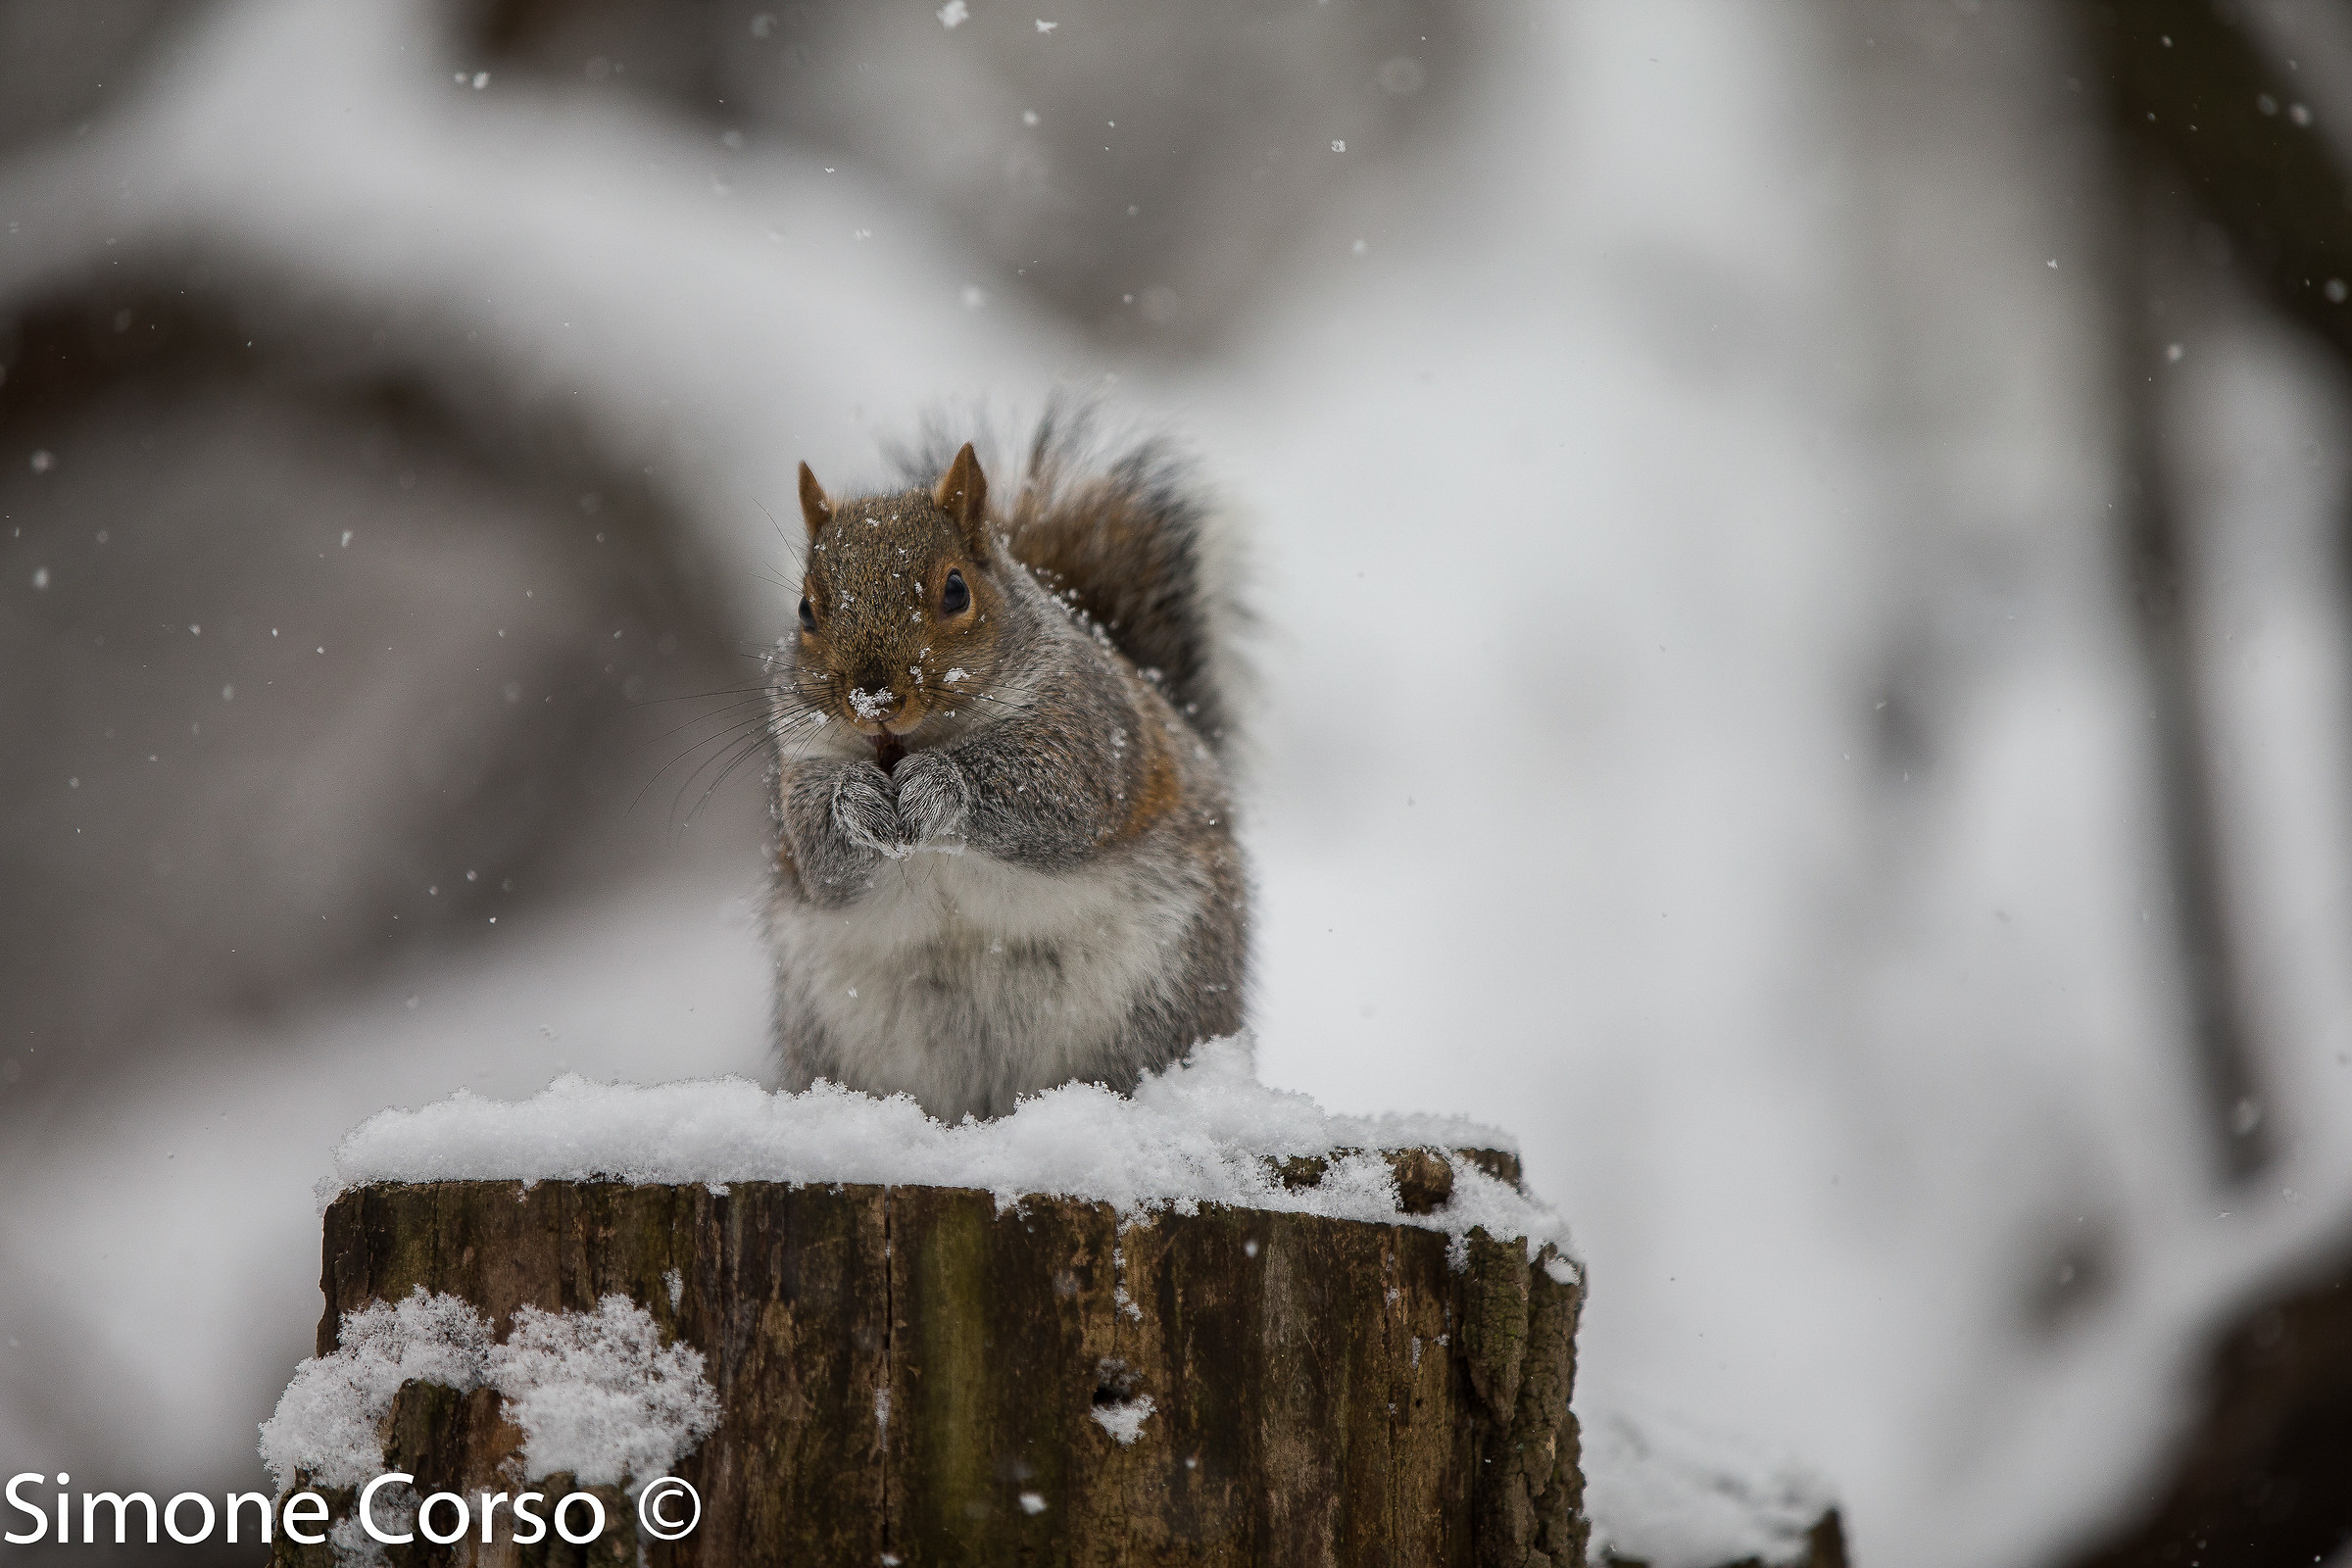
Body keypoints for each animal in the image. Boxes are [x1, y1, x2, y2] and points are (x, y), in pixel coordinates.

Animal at [764, 408, 1249, 1122]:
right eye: (804, 610)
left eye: (956, 590)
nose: (872, 700)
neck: (912, 745)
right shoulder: (798, 770)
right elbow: (819, 855)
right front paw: (855, 802)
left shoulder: (1088, 732)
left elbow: (1051, 797)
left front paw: (938, 786)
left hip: (1165, 999)